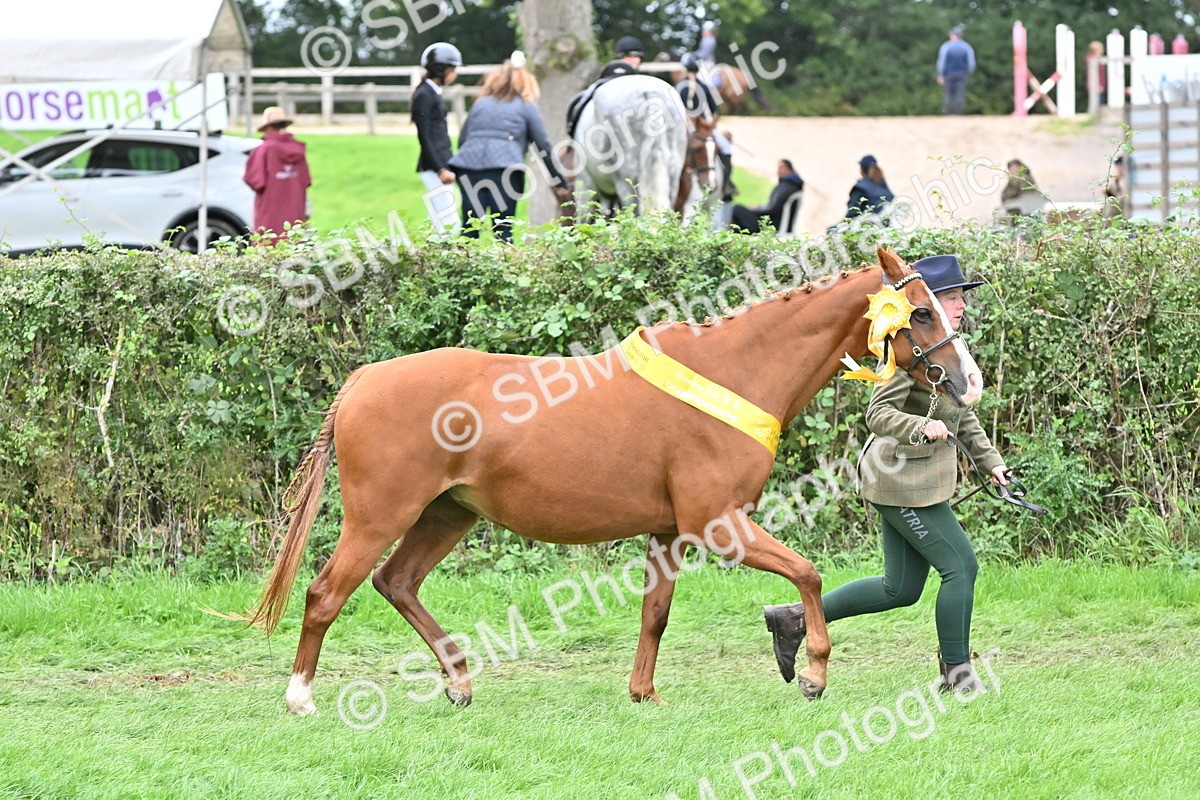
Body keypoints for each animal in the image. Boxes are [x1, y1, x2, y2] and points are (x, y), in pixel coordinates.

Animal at [232, 247, 984, 714]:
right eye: (919, 312)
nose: (968, 381)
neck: (732, 370)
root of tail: (362, 380)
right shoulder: (717, 523)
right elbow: (807, 573)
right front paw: (814, 672)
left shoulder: (669, 532)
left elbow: (655, 614)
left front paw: (644, 693)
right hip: (380, 515)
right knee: (327, 593)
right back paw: (301, 696)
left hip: (447, 514)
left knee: (397, 583)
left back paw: (460, 682)